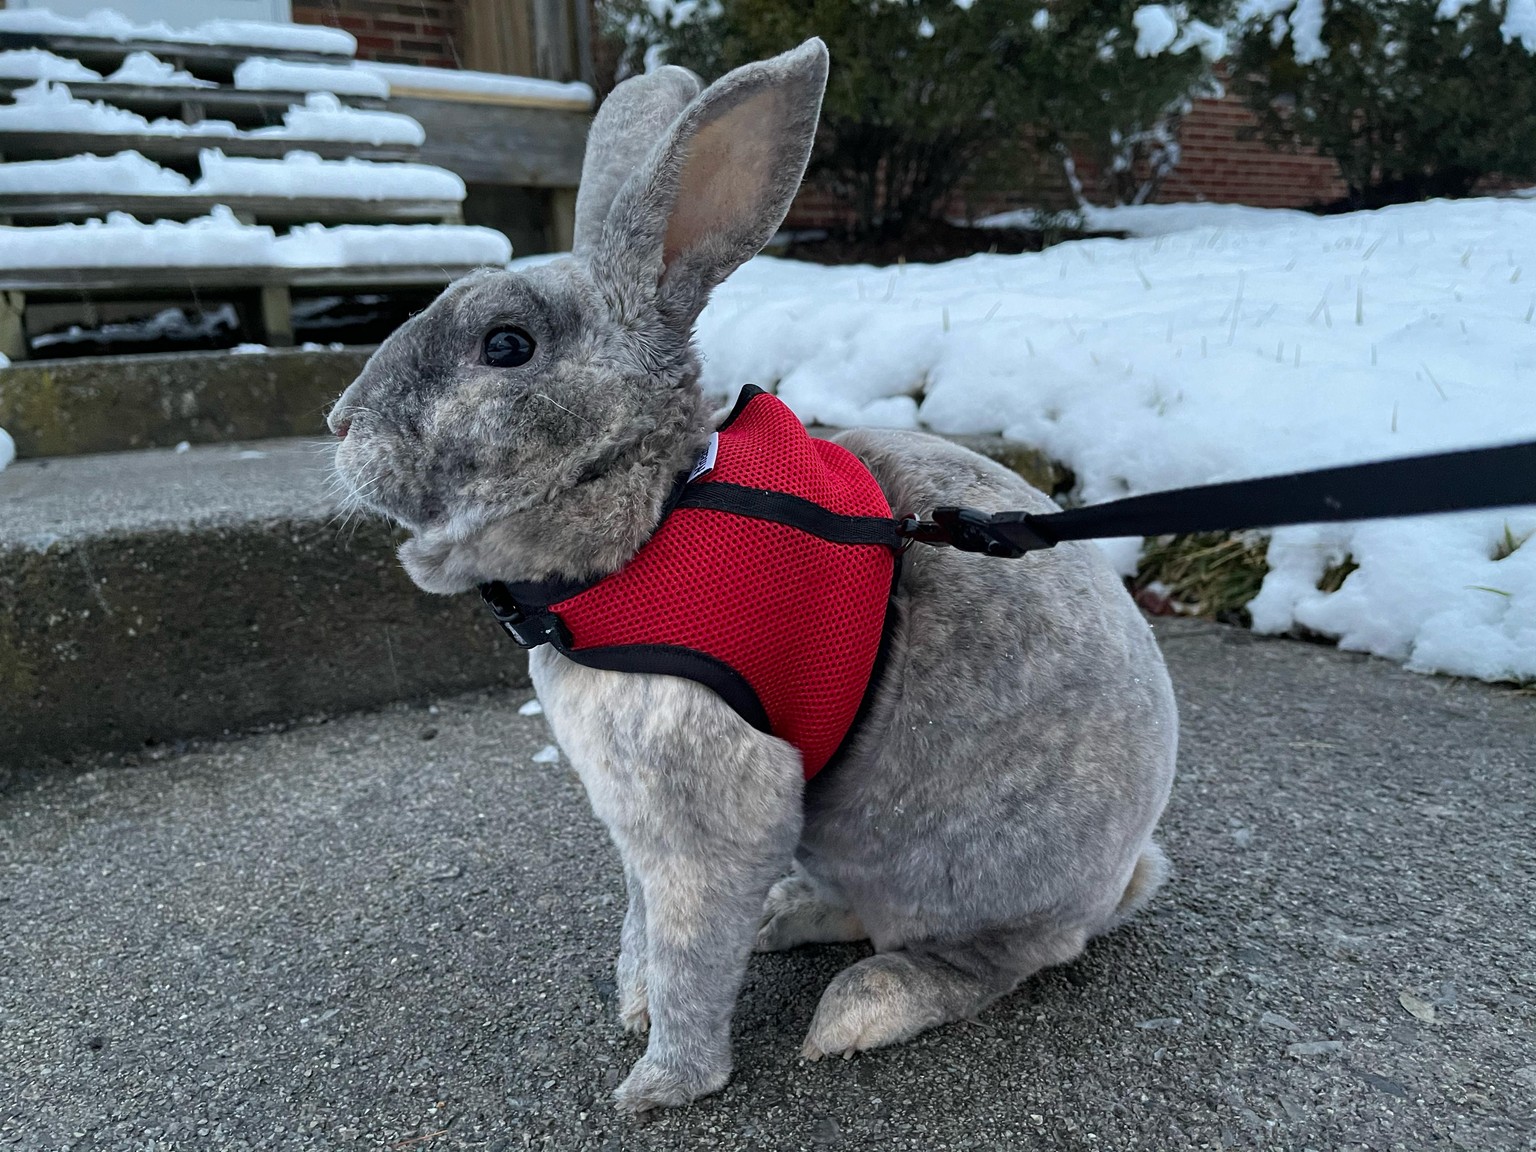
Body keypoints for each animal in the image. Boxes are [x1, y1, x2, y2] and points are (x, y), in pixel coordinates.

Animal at [326, 38, 1178, 1114]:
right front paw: (633, 1003)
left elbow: (690, 948)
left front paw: (661, 1083)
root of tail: (1123, 874)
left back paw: (861, 1008)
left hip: (967, 870)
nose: (338, 425)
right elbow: (645, 924)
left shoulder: (705, 805)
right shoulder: (637, 823)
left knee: (993, 958)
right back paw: (785, 918)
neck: (652, 516)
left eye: (506, 346)